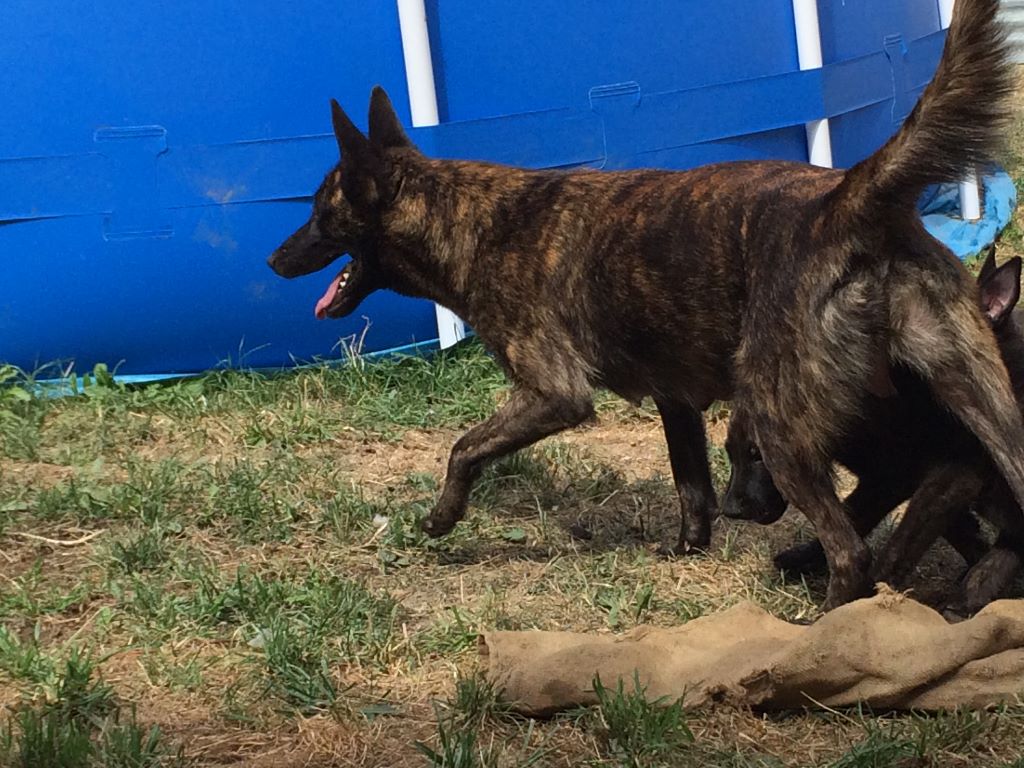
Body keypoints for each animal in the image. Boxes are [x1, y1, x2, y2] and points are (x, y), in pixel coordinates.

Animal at [722, 250, 1024, 611]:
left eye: (758, 454)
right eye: (731, 454)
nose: (729, 509)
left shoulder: (924, 478)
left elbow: (884, 533)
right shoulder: (909, 478)